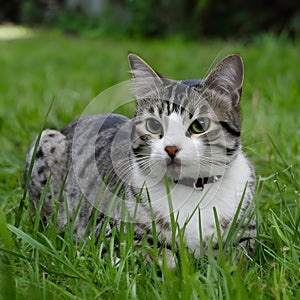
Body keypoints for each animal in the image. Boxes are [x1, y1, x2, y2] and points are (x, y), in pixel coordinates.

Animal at [24, 54, 256, 268]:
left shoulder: (247, 236)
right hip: (46, 140)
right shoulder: (108, 235)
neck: (190, 190)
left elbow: (239, 258)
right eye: (154, 125)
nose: (171, 148)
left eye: (199, 125)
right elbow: (159, 255)